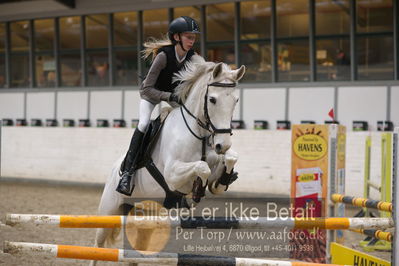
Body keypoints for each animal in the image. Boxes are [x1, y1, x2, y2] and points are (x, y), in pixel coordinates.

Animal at [92, 55, 245, 264]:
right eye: (212, 99)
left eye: (235, 100)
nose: (223, 144)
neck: (198, 134)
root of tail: (115, 169)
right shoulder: (172, 174)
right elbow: (202, 167)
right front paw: (196, 192)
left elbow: (228, 161)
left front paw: (222, 179)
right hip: (108, 211)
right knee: (97, 246)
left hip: (144, 217)